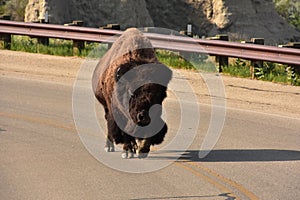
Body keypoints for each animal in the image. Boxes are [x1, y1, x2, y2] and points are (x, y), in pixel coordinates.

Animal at [91, 28, 172, 159]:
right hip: (107, 108)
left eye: (161, 96)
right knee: (109, 124)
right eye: (131, 92)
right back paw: (109, 146)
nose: (145, 117)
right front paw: (128, 151)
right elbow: (123, 130)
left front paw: (142, 149)